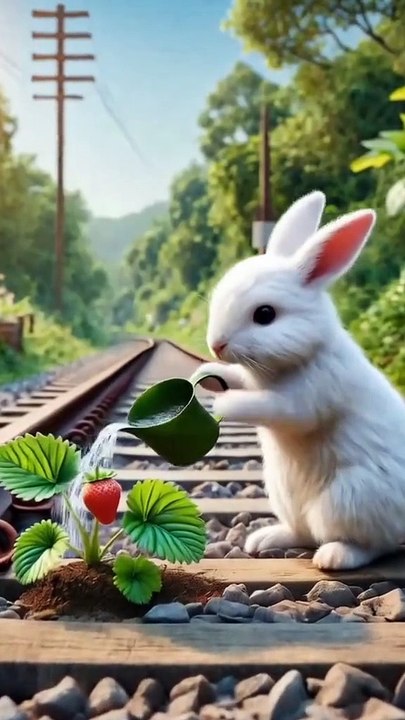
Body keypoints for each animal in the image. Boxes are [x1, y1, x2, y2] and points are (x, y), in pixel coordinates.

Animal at [190, 190, 405, 570]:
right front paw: (205, 376)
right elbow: (239, 378)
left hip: (349, 499)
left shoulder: (307, 397)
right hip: (284, 495)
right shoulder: (254, 379)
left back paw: (334, 557)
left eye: (265, 315)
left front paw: (224, 404)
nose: (216, 345)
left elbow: (275, 407)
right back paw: (263, 539)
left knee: (374, 544)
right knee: (302, 532)